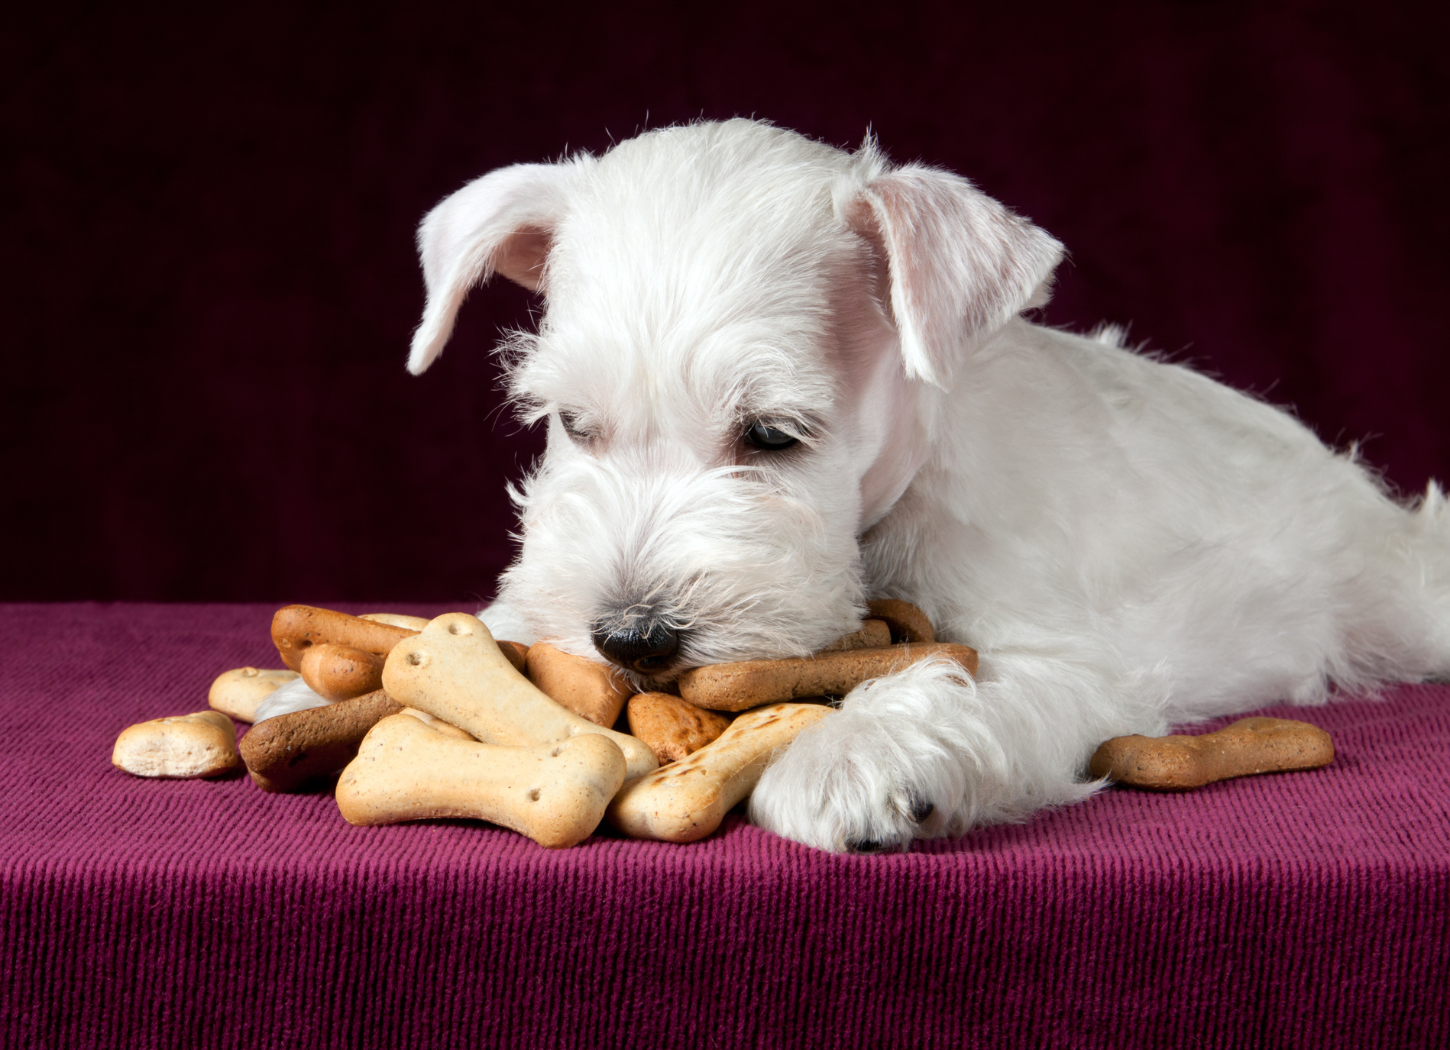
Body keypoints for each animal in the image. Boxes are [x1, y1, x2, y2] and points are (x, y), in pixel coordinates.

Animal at [291, 116, 1450, 852]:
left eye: (772, 434)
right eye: (573, 425)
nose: (630, 638)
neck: (892, 503)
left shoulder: (1065, 657)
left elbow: (960, 684)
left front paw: (856, 757)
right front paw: (322, 687)